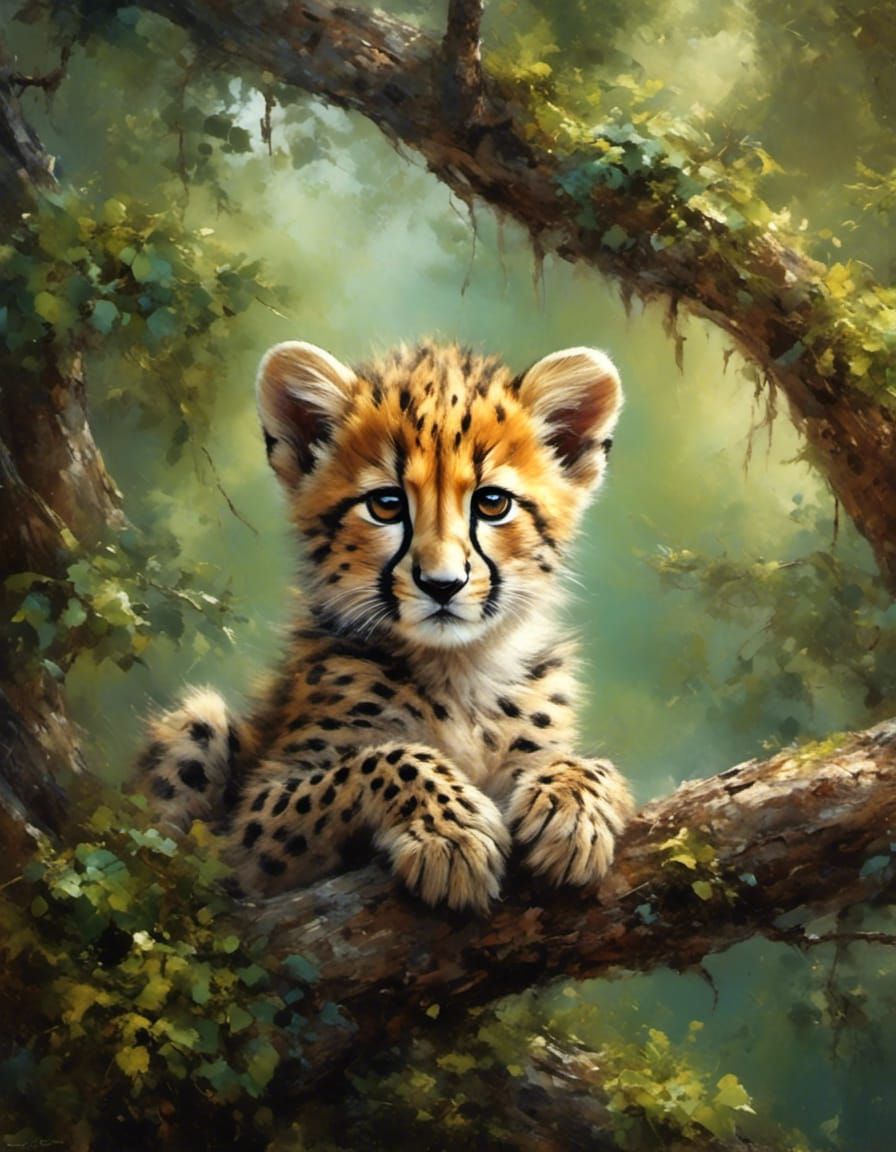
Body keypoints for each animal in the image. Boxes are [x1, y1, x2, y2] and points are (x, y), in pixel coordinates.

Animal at [134, 338, 635, 912]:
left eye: (492, 503)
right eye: (386, 505)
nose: (442, 585)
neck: (459, 668)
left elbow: (590, 764)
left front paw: (573, 808)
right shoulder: (253, 830)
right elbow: (383, 760)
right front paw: (451, 831)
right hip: (196, 723)